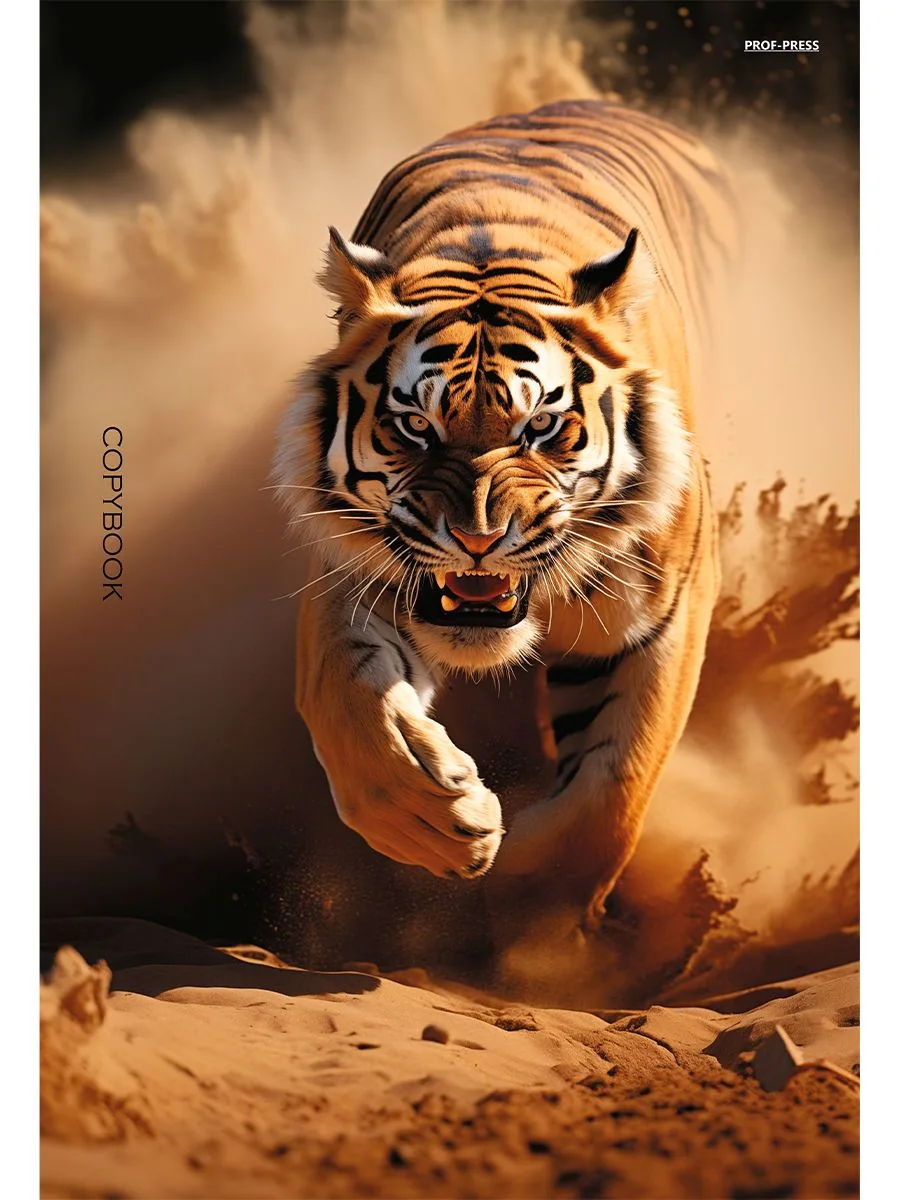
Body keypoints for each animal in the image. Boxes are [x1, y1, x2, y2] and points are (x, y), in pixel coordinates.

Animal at [274, 99, 738, 928]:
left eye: (541, 427)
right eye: (415, 426)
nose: (478, 540)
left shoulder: (667, 610)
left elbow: (613, 792)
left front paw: (531, 927)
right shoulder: (351, 572)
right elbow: (349, 705)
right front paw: (439, 822)